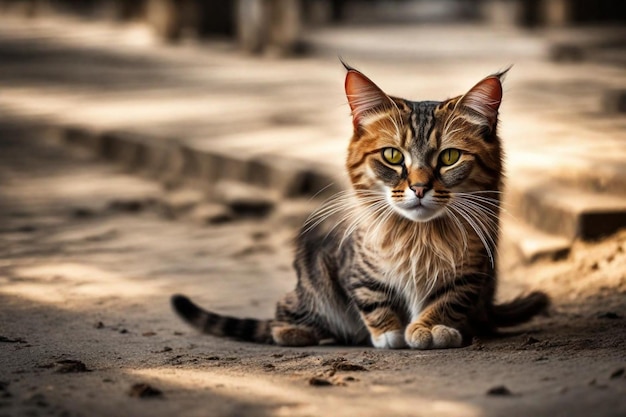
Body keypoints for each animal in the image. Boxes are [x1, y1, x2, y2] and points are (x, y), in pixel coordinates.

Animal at [169, 62, 544, 348]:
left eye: (449, 157)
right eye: (392, 156)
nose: (419, 187)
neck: (420, 236)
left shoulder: (471, 270)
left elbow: (448, 299)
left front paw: (429, 327)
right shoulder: (351, 266)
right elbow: (372, 295)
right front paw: (390, 332)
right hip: (311, 285)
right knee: (285, 313)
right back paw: (297, 331)